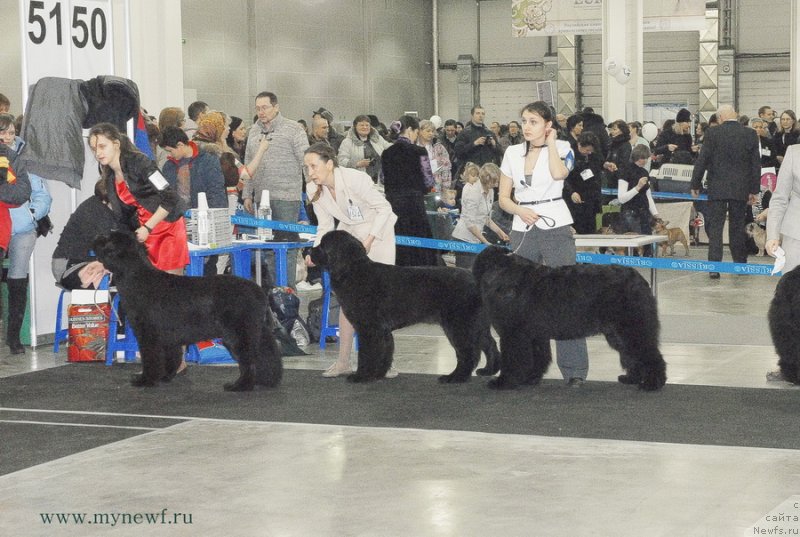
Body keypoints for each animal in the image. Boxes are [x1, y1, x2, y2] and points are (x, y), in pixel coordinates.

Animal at [91, 230, 282, 390]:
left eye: (107, 239)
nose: (96, 238)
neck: (135, 277)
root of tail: (258, 291)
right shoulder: (168, 336)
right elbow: (172, 358)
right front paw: (166, 377)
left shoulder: (148, 333)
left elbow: (151, 358)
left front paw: (146, 380)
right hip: (257, 330)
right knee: (267, 354)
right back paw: (267, 380)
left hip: (238, 334)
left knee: (249, 360)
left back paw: (240, 385)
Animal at [310, 229, 496, 382]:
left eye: (323, 245)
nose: (309, 250)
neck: (353, 271)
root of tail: (475, 279)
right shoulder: (382, 330)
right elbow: (384, 352)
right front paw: (379, 374)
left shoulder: (369, 328)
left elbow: (367, 354)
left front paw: (361, 376)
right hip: (477, 324)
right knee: (489, 344)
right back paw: (488, 371)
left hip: (459, 325)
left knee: (468, 353)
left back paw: (456, 377)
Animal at [472, 246, 664, 390]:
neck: (503, 276)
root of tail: (640, 280)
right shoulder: (534, 334)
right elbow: (537, 358)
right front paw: (530, 378)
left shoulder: (513, 334)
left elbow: (513, 359)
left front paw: (503, 382)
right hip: (617, 333)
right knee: (631, 355)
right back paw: (632, 378)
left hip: (632, 328)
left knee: (650, 355)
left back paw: (652, 384)